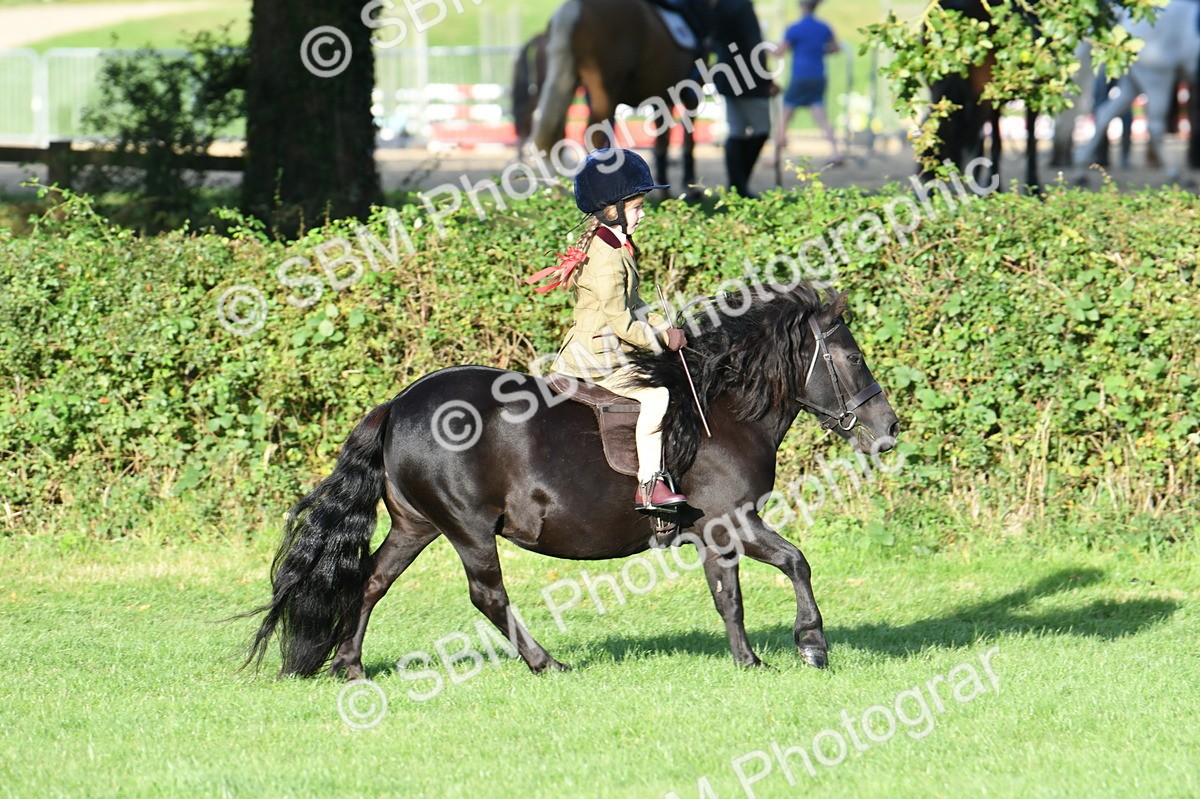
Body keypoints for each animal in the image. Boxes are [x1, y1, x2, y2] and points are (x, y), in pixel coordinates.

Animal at [245, 284, 900, 677]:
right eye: (853, 359)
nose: (889, 430)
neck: (722, 411)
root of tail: (399, 404)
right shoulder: (729, 520)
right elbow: (769, 576)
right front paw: (795, 648)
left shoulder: (722, 529)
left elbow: (756, 581)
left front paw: (774, 653)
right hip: (466, 528)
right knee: (487, 595)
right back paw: (546, 663)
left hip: (416, 525)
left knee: (371, 580)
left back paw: (350, 666)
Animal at [527, 0, 714, 190]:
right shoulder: (692, 91)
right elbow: (688, 139)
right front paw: (689, 185)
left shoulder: (661, 96)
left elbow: (663, 138)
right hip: (603, 91)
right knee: (593, 137)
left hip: (568, 84)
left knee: (558, 135)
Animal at [1074, 0, 1200, 180]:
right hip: (1157, 77)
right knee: (1155, 125)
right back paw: (1174, 172)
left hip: (1133, 83)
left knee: (1105, 113)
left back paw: (1080, 166)